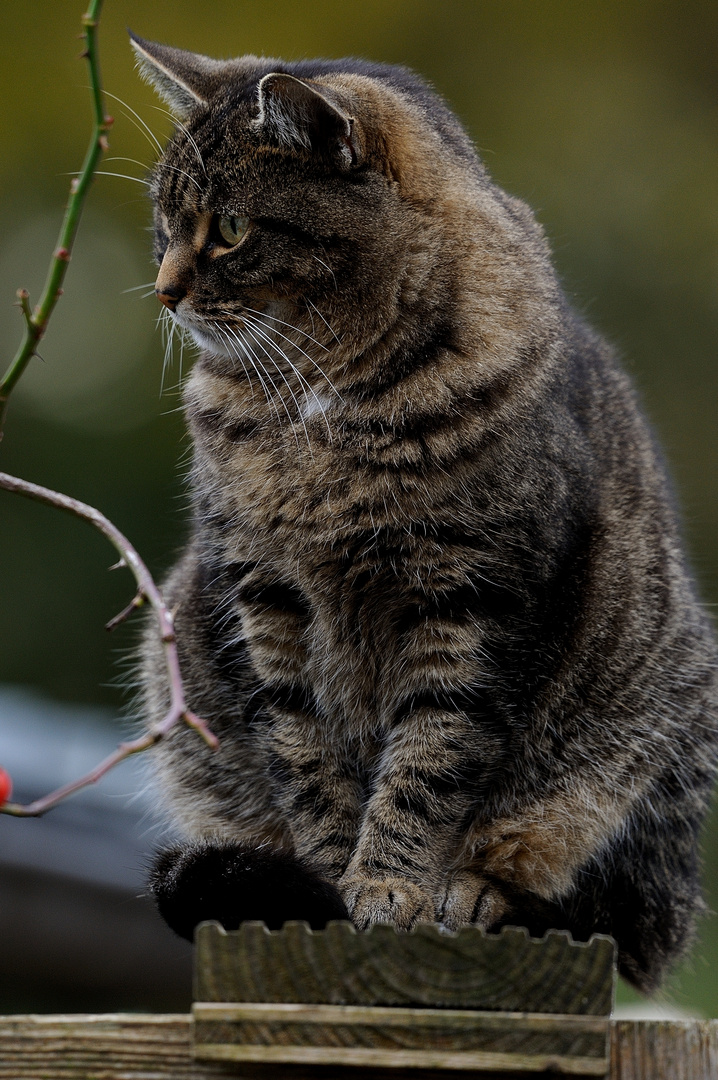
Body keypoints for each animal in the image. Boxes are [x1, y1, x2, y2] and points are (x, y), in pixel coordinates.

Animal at [131, 31, 716, 993]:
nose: (164, 290)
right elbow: (304, 752)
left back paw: (476, 893)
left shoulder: (476, 596)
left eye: (230, 229)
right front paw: (332, 878)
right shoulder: (263, 597)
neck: (315, 402)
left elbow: (430, 759)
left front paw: (388, 886)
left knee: (592, 908)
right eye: (165, 227)